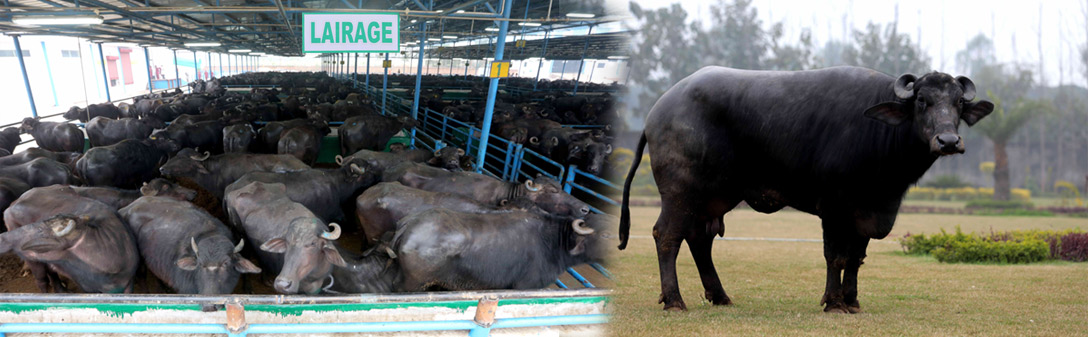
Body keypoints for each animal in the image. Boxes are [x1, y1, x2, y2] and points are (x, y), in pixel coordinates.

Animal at [622, 66, 996, 313]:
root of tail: (657, 111)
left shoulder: (867, 208)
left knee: (699, 239)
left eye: (958, 103)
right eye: (921, 101)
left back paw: (720, 296)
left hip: (714, 196)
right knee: (667, 235)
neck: (878, 136)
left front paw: (852, 300)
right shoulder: (833, 207)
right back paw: (674, 300)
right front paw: (833, 302)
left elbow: (856, 257)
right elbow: (836, 255)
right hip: (680, 192)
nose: (948, 141)